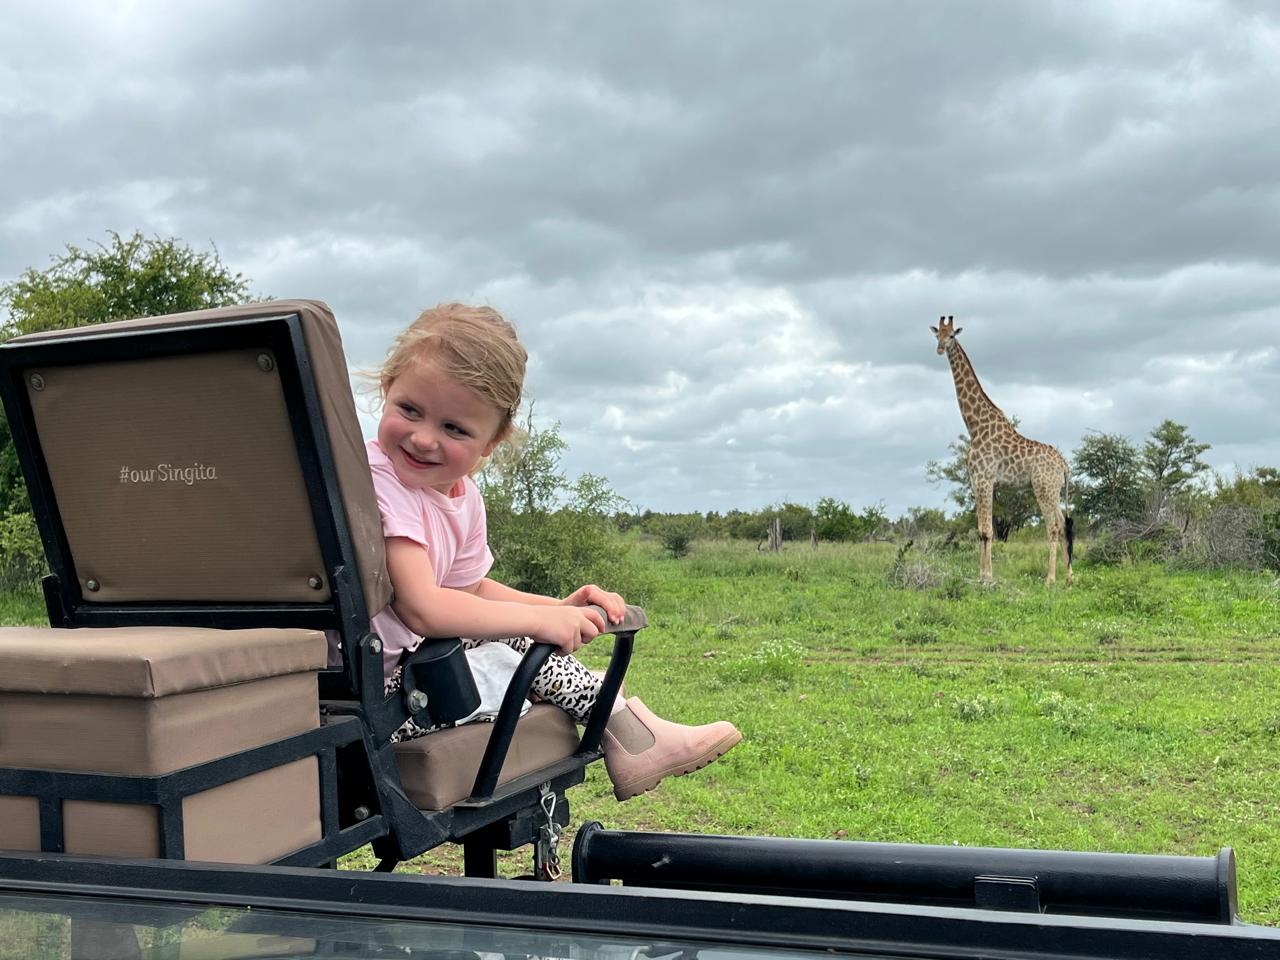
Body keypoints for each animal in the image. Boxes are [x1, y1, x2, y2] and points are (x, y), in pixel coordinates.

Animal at [931, 316, 1073, 585]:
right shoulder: (976, 480)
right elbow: (981, 530)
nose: (940, 349)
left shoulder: (985, 478)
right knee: (1064, 524)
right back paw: (1070, 577)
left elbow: (987, 531)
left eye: (952, 335)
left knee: (1054, 526)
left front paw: (987, 577)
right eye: (937, 335)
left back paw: (1050, 579)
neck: (974, 425)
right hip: (1055, 490)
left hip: (1044, 488)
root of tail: (1064, 465)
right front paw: (982, 575)